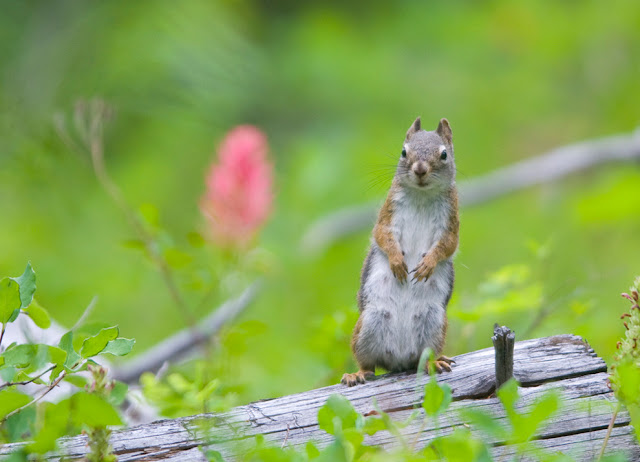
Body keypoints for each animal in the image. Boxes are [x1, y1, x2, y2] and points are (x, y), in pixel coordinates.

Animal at [340, 116, 460, 386]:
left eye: (444, 154)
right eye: (404, 152)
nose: (420, 169)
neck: (422, 195)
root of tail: (399, 360)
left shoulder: (451, 222)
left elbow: (447, 245)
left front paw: (428, 264)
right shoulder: (388, 214)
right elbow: (382, 236)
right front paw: (396, 262)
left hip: (434, 323)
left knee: (424, 357)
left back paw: (434, 362)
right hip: (368, 324)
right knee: (368, 364)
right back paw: (357, 373)